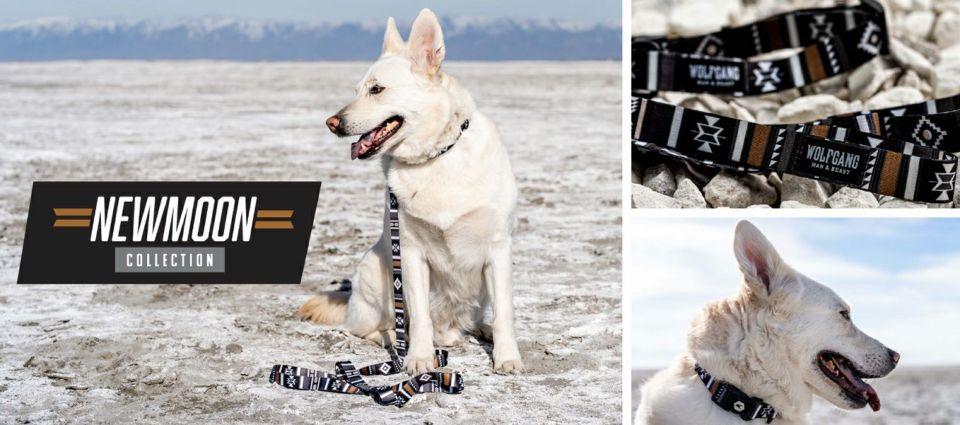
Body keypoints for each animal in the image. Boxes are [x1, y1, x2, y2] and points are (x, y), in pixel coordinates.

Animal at [296, 9, 522, 375]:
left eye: (377, 89)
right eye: (357, 90)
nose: (332, 123)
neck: (436, 157)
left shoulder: (498, 248)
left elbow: (505, 313)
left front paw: (507, 356)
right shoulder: (412, 253)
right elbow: (418, 317)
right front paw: (418, 358)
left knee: (474, 320)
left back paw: (479, 330)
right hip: (374, 271)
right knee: (371, 328)